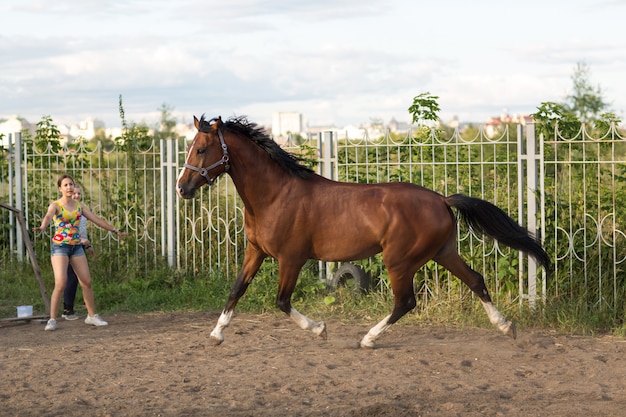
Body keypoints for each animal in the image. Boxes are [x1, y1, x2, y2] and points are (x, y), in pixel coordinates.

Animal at [176, 114, 544, 348]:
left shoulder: (291, 258)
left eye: (202, 149)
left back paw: (368, 339)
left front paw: (320, 330)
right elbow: (236, 289)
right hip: (442, 252)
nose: (182, 188)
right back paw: (506, 326)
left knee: (406, 302)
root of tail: (441, 199)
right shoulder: (256, 251)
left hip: (399, 260)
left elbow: (281, 301)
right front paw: (216, 335)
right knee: (475, 280)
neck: (275, 195)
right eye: (190, 147)